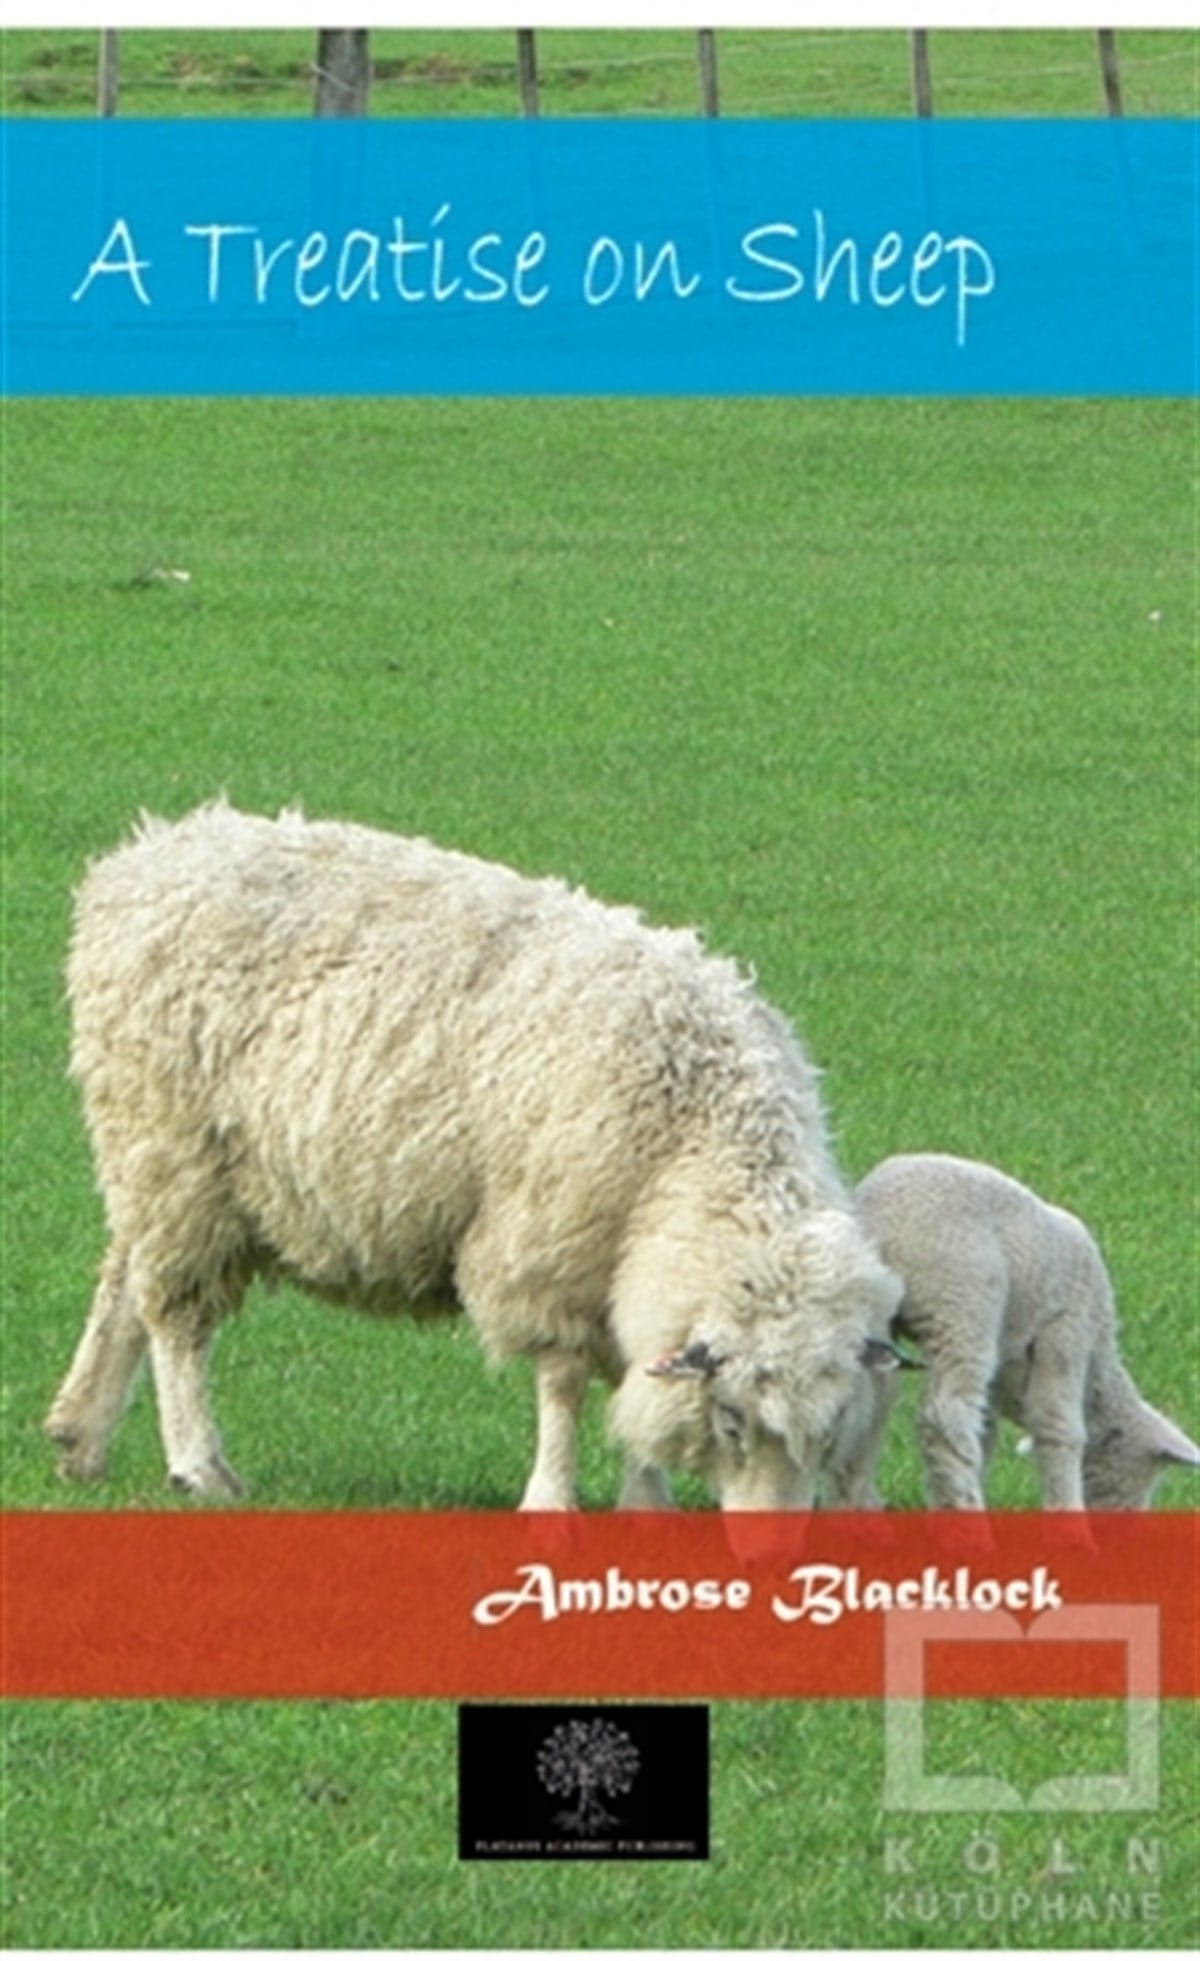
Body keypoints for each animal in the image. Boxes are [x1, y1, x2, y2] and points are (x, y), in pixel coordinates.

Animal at [45, 801, 903, 1511]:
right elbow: (564, 1384)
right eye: (731, 1421)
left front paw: (644, 1502)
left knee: (123, 1281)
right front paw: (551, 1500)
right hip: (176, 1153)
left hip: (155, 1161)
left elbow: (630, 1384)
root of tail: (146, 855)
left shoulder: (614, 1263)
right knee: (174, 1315)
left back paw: (79, 1434)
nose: (771, 1548)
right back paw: (198, 1463)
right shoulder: (550, 1249)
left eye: (830, 1432)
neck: (691, 1135)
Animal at [841, 1152, 1199, 1510]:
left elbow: (986, 1431)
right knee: (945, 1419)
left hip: (877, 1317)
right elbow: (1059, 1427)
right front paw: (1067, 1508)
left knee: (869, 1403)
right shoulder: (1066, 1329)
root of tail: (879, 1223)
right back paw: (963, 1506)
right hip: (962, 1305)